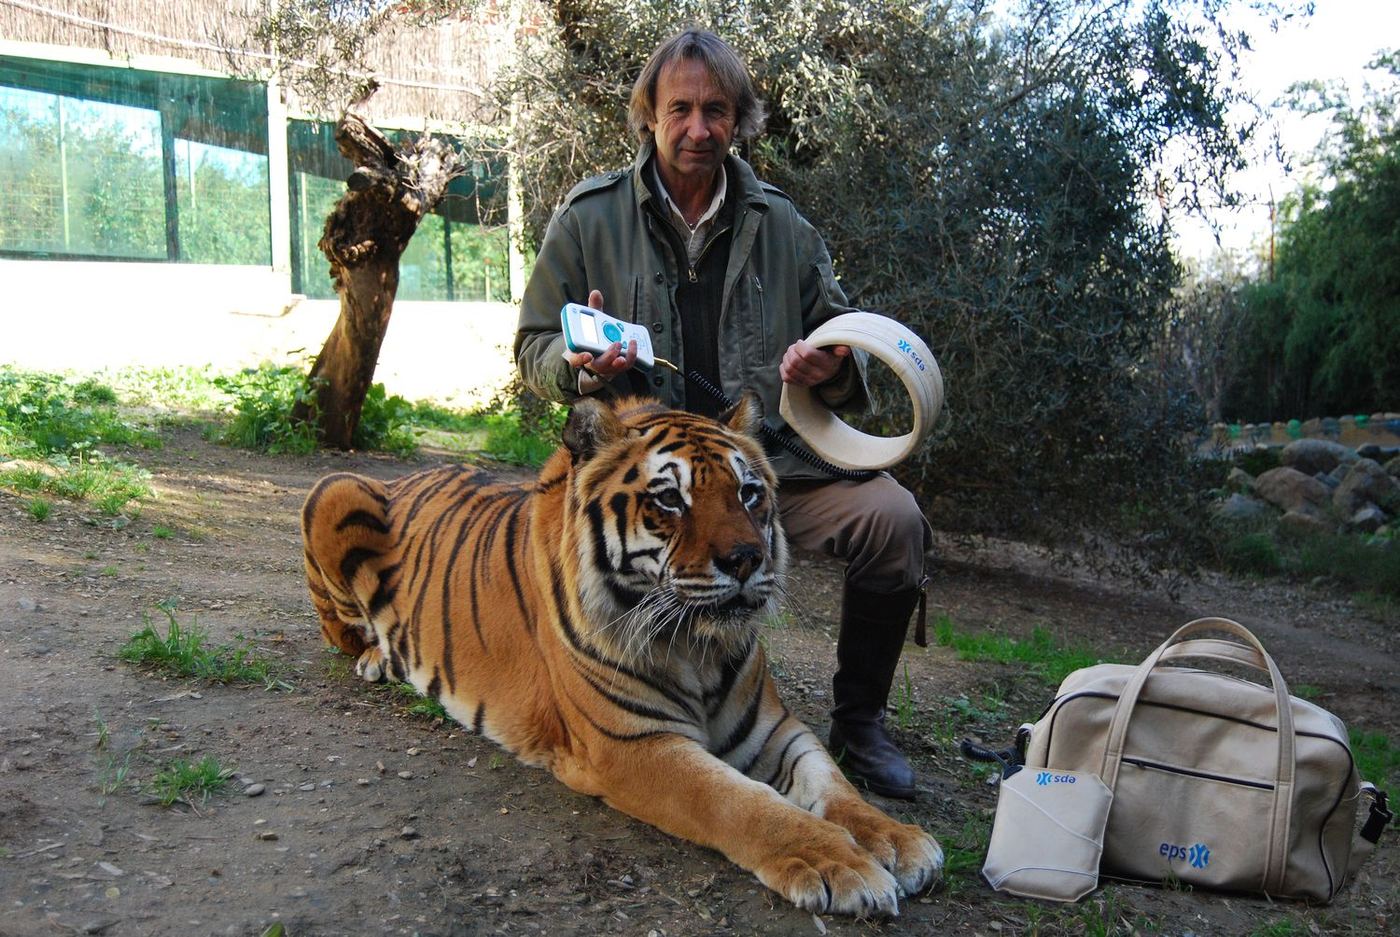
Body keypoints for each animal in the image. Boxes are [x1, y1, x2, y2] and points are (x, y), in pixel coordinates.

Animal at [300, 393, 943, 917]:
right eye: (670, 499)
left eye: (749, 492)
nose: (746, 559)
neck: (696, 647)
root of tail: (415, 472)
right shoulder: (632, 744)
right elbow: (740, 801)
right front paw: (841, 864)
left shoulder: (774, 730)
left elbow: (834, 784)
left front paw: (897, 839)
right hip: (334, 489)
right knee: (341, 628)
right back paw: (376, 659)